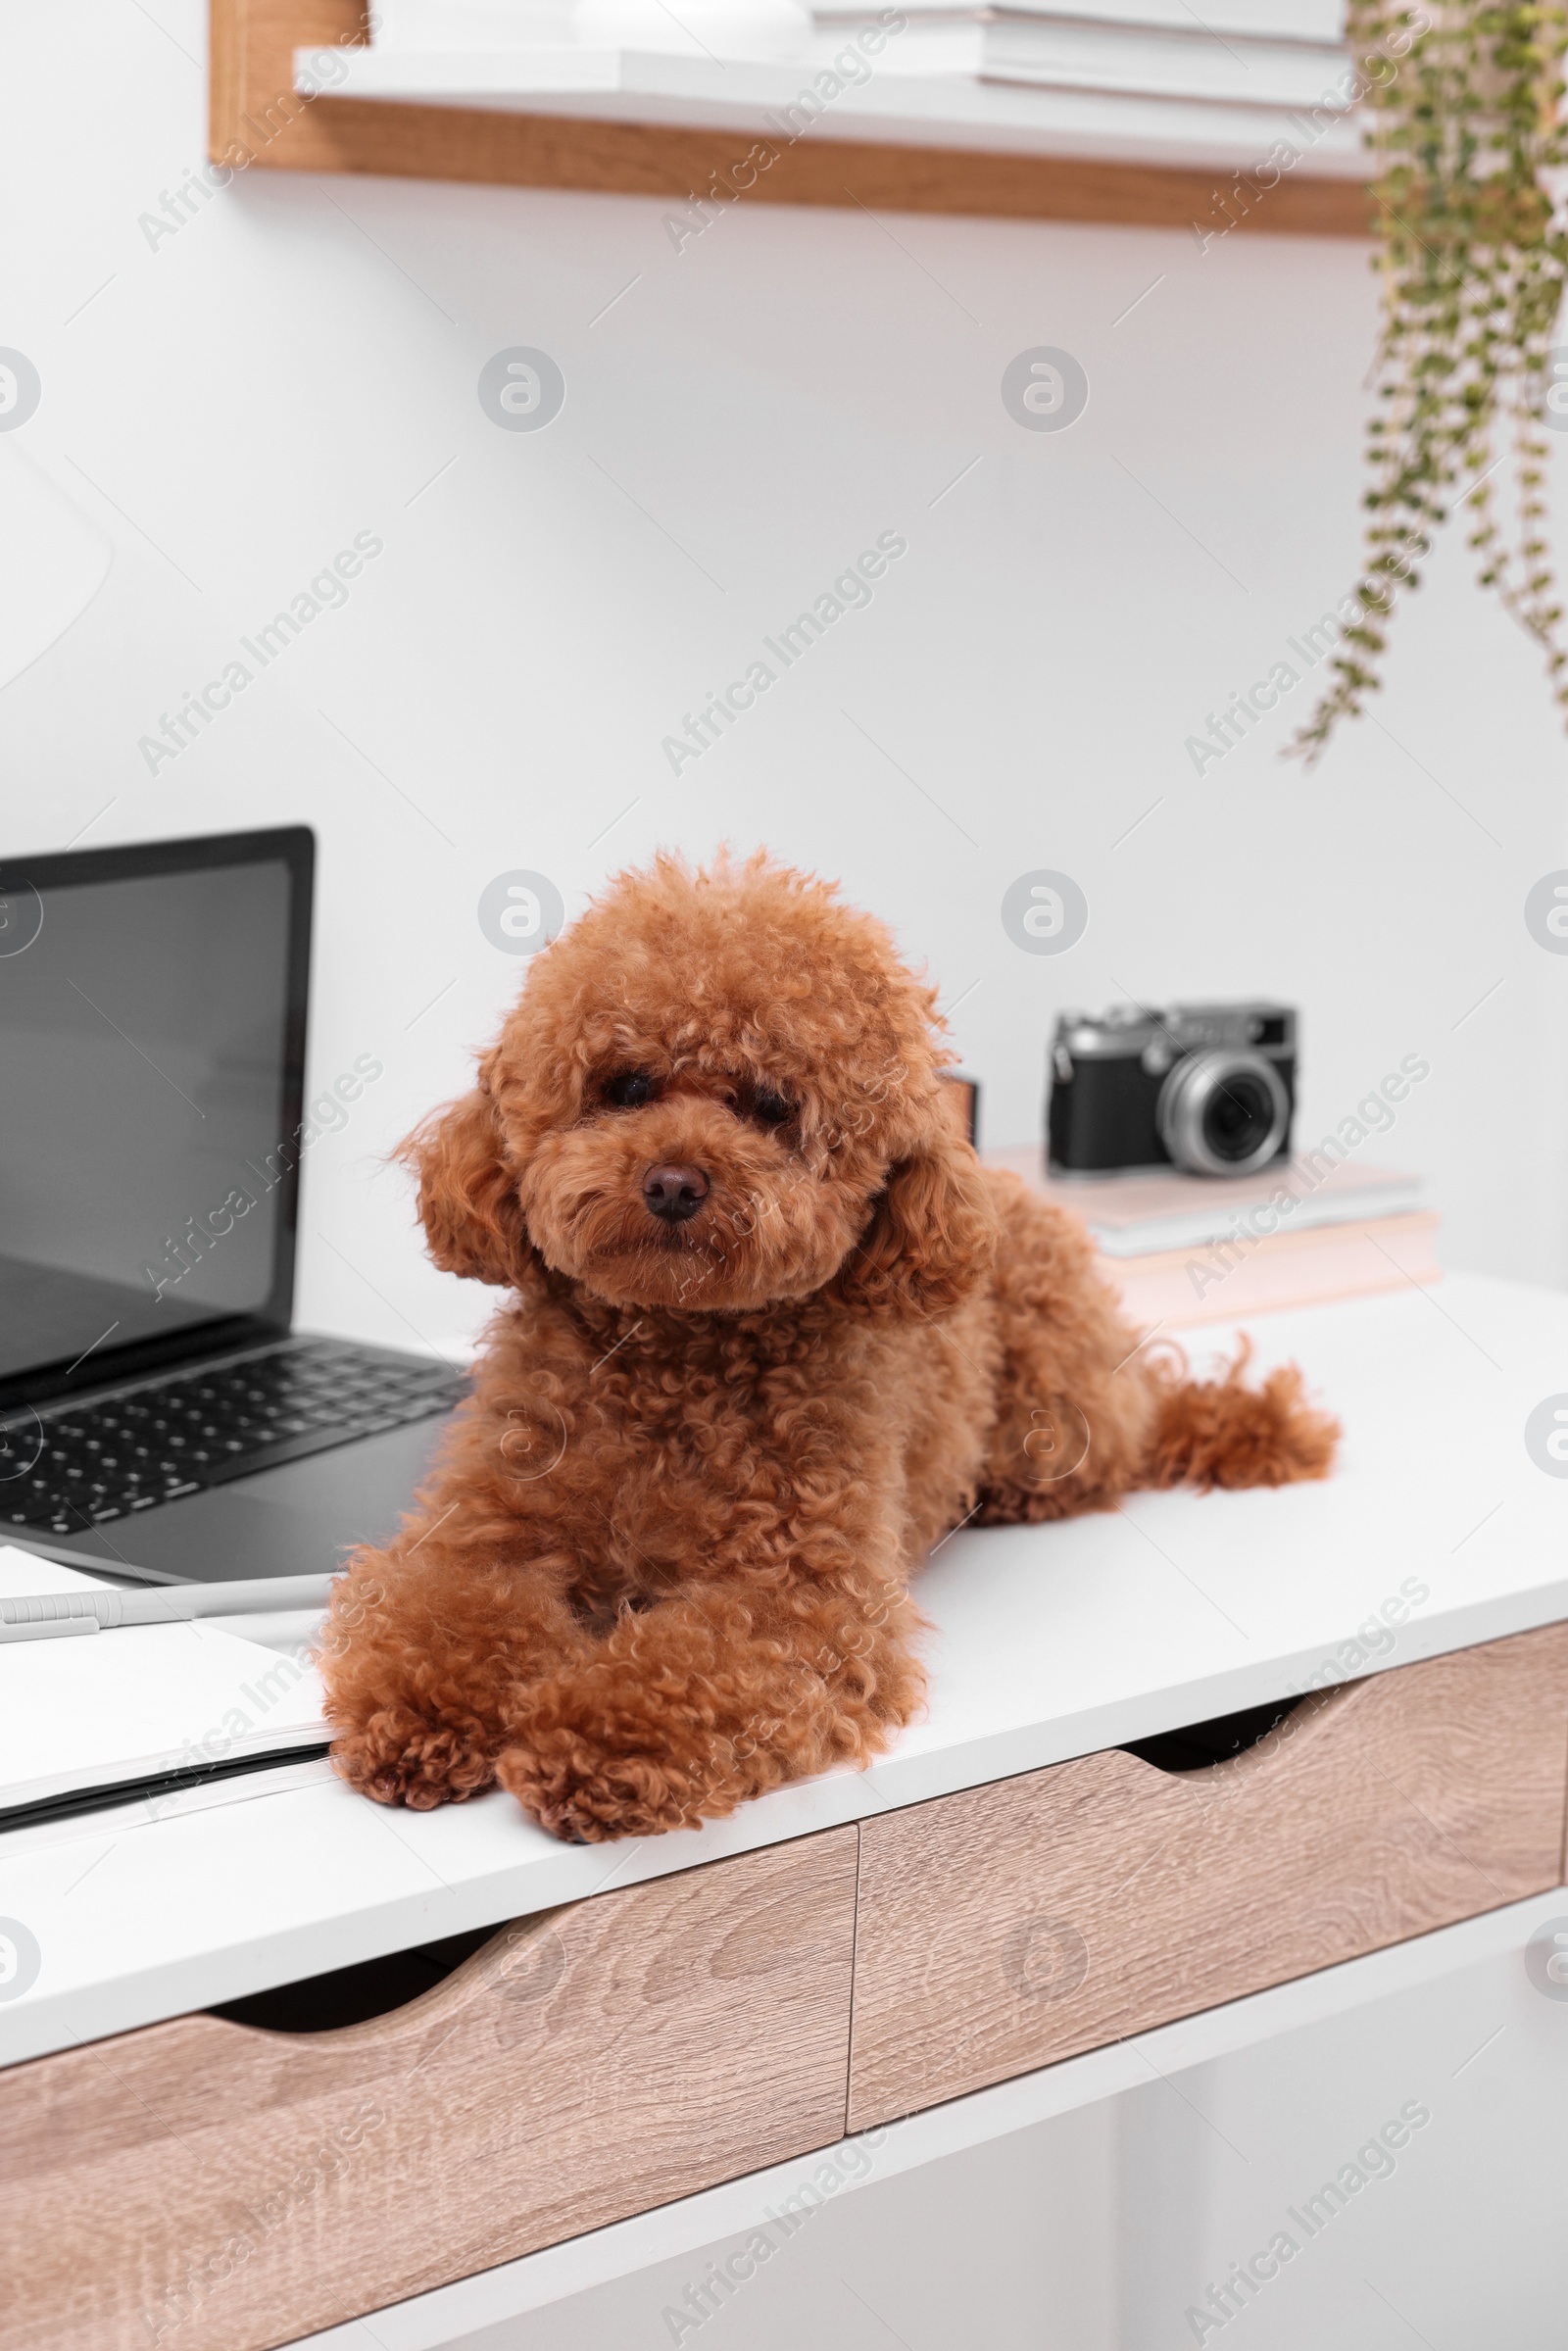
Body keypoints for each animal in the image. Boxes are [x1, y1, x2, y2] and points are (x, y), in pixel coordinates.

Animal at [324, 856, 1345, 1842]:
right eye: (625, 1087)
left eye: (772, 1106)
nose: (674, 1182)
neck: (672, 1356)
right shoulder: (482, 1531)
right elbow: (448, 1613)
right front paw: (423, 1713)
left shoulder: (804, 1594)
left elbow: (694, 1659)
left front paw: (597, 1738)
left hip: (1054, 1415)